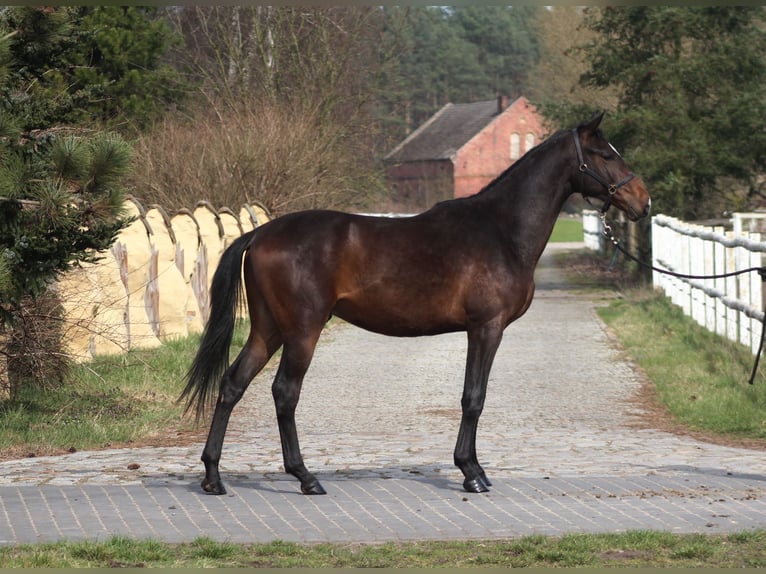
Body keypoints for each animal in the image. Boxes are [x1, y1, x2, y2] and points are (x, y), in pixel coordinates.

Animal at [182, 111, 656, 496]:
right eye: (605, 154)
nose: (642, 200)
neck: (500, 231)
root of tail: (260, 233)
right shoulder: (486, 328)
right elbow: (473, 397)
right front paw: (471, 473)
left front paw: (472, 468)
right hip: (302, 331)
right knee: (285, 392)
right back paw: (305, 477)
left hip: (268, 330)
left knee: (232, 384)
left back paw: (213, 477)